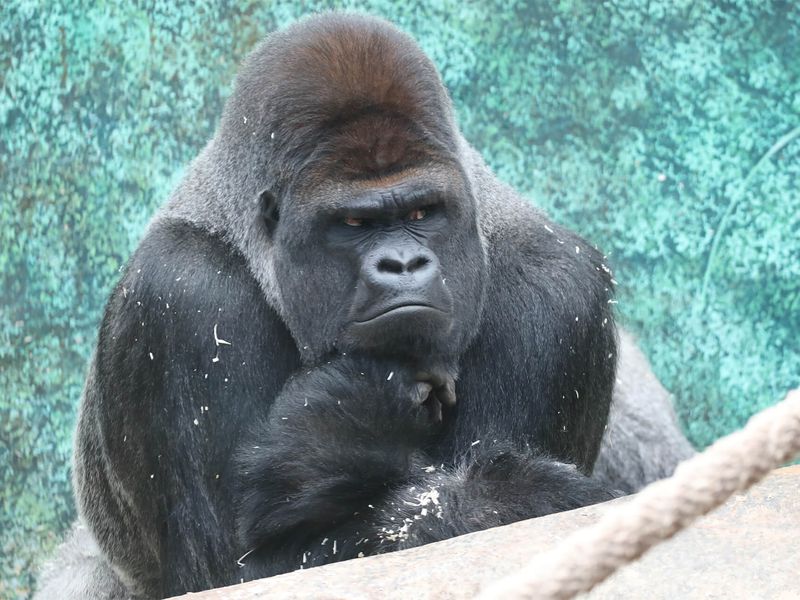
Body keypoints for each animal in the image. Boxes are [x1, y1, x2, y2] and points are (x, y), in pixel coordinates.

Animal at [34, 14, 692, 600]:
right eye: (352, 224)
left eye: (423, 212)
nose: (402, 265)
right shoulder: (181, 295)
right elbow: (236, 570)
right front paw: (356, 418)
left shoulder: (558, 290)